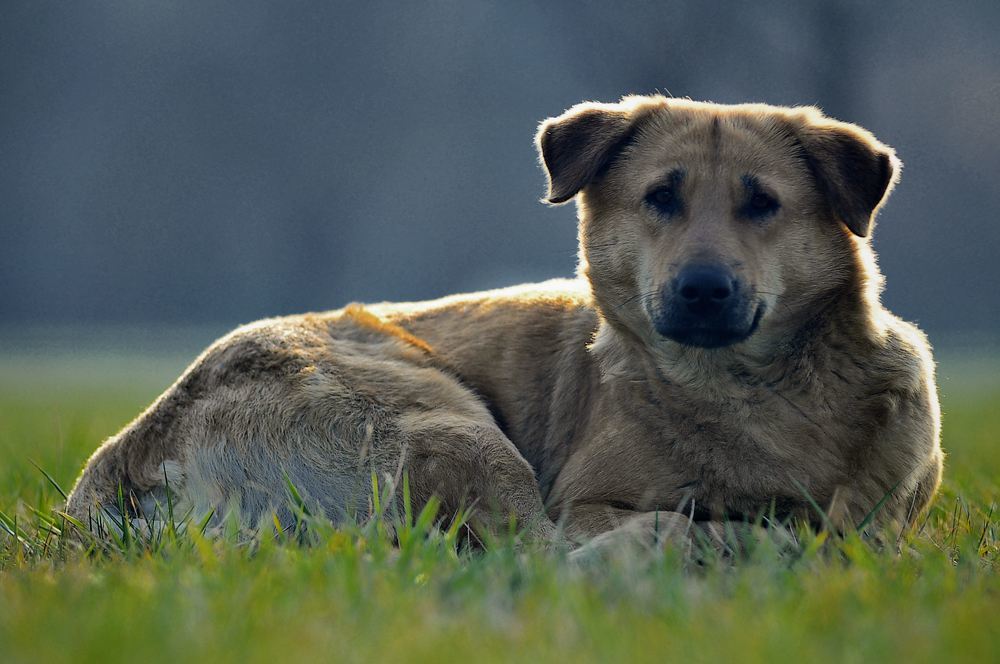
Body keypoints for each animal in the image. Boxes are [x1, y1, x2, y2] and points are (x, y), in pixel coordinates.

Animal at [64, 93, 944, 548]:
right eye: (660, 197)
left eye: (762, 204)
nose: (701, 289)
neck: (751, 396)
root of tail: (123, 460)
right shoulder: (585, 503)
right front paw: (742, 531)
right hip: (448, 421)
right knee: (547, 559)